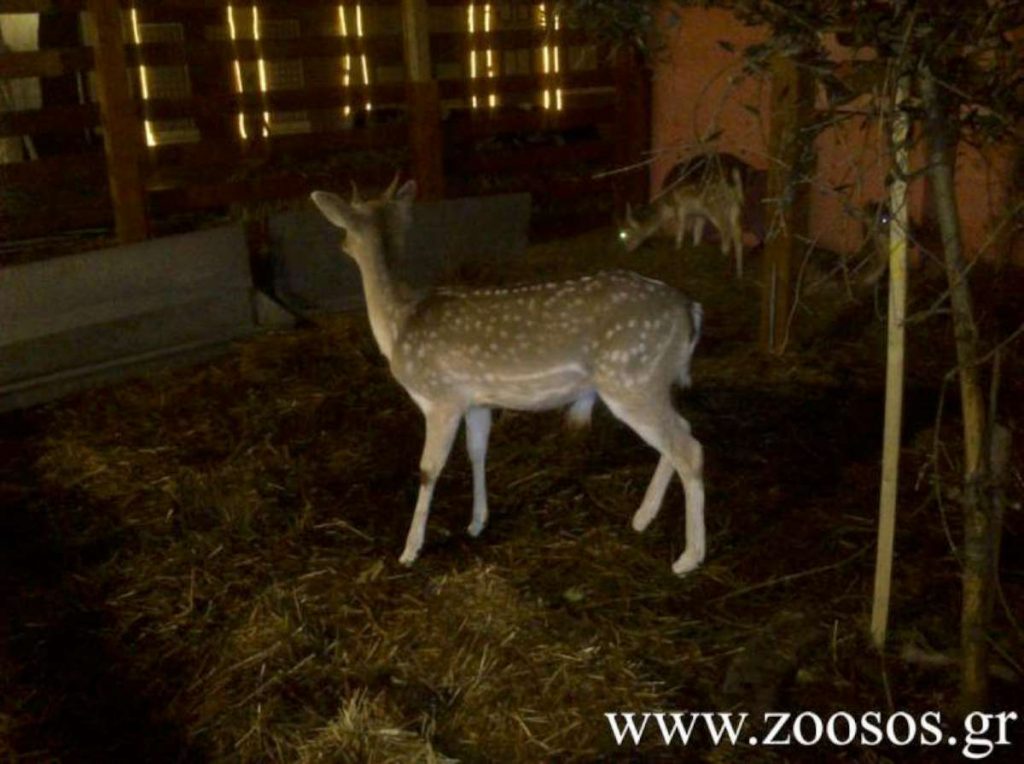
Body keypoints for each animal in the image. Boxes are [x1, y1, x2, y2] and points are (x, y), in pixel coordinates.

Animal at [311, 175, 708, 573]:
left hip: (630, 378)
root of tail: (690, 309)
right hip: (650, 382)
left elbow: (428, 469)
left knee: (688, 448)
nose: (340, 245)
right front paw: (476, 522)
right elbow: (477, 452)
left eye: (345, 228)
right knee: (682, 432)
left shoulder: (441, 398)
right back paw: (643, 518)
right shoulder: (477, 402)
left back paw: (688, 559)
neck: (398, 325)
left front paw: (409, 551)